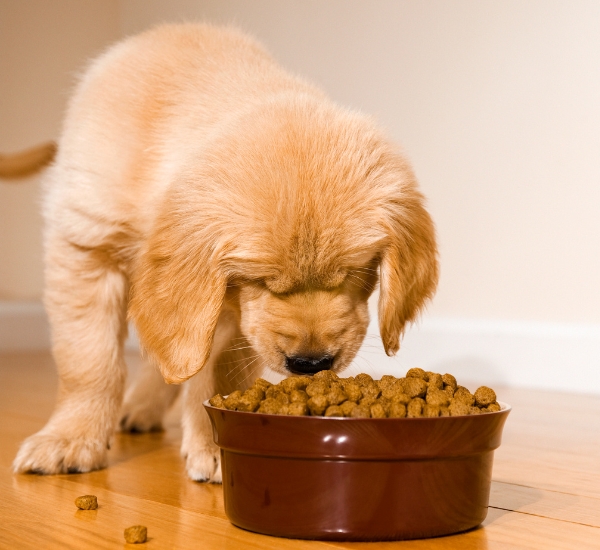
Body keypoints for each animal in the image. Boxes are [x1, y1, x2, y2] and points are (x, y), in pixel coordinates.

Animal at [11, 23, 438, 484]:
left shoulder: (228, 309)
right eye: (261, 280)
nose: (311, 363)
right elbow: (89, 361)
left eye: (355, 273)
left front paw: (214, 443)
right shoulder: (86, 245)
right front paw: (70, 439)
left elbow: (216, 370)